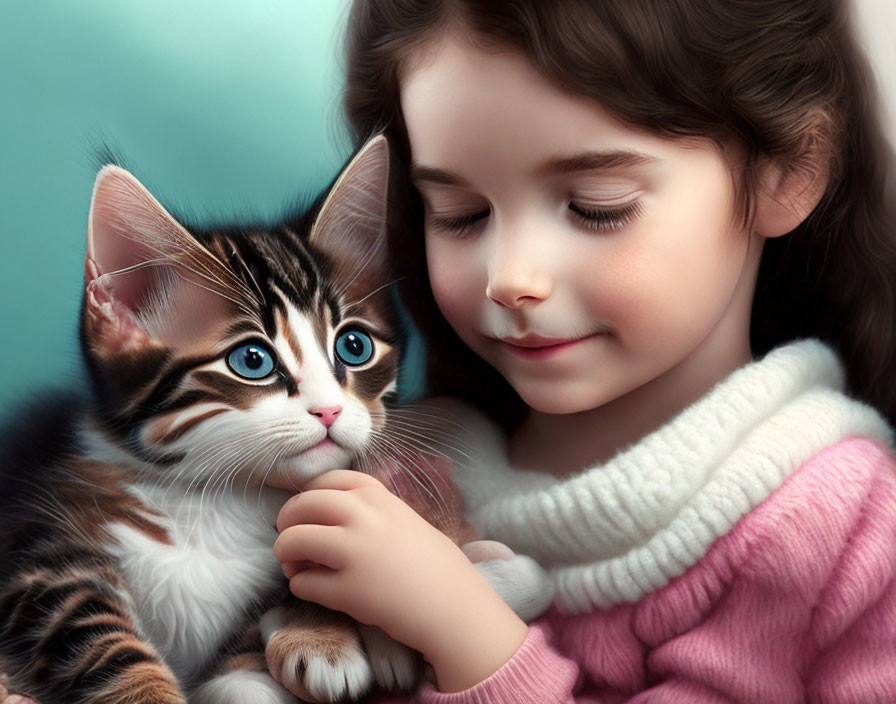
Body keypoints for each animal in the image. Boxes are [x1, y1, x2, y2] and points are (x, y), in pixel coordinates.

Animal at [0, 135, 440, 700]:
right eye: (252, 360)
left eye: (354, 346)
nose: (330, 409)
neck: (215, 501)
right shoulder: (37, 556)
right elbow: (99, 640)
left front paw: (318, 634)